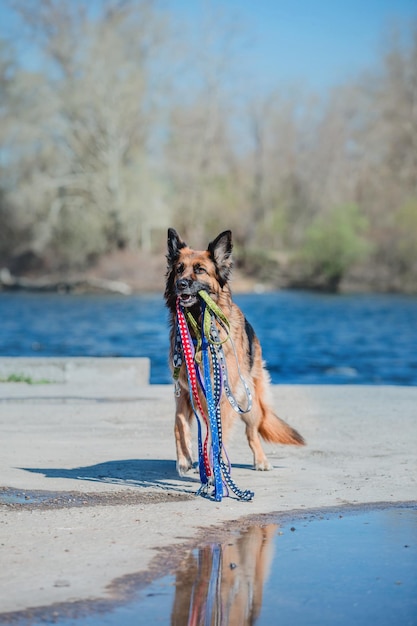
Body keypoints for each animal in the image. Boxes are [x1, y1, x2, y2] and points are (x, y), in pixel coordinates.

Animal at [164, 227, 304, 476]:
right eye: (179, 269)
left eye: (200, 270)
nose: (181, 284)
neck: (198, 329)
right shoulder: (183, 390)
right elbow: (179, 423)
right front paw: (185, 459)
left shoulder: (222, 397)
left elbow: (217, 438)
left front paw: (213, 473)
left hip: (248, 402)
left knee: (252, 433)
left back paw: (260, 460)